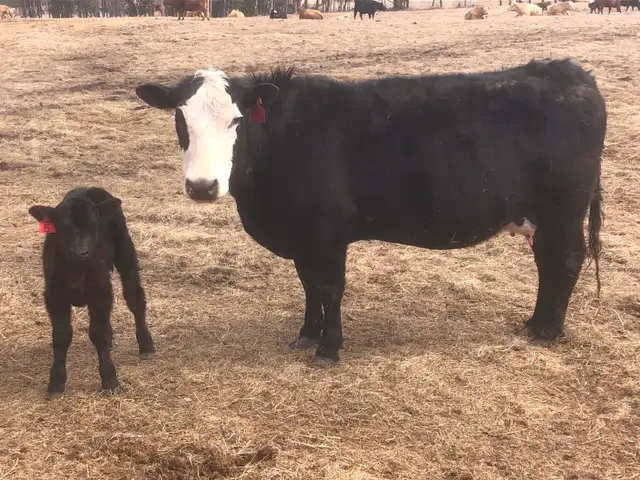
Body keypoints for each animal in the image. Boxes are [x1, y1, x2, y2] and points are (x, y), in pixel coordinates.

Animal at [29, 187, 155, 397]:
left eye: (94, 224)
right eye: (64, 226)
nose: (82, 251)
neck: (77, 269)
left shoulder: (99, 291)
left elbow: (98, 334)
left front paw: (110, 379)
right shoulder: (54, 295)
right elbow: (61, 336)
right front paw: (56, 382)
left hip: (125, 251)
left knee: (135, 298)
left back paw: (146, 346)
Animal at [134, 59, 605, 365]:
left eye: (236, 120)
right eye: (180, 120)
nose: (202, 187)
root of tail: (567, 71)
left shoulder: (326, 233)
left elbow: (329, 288)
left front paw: (329, 348)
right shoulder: (304, 238)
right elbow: (308, 286)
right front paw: (306, 335)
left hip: (564, 210)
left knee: (565, 262)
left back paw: (548, 331)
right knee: (548, 265)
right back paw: (534, 323)